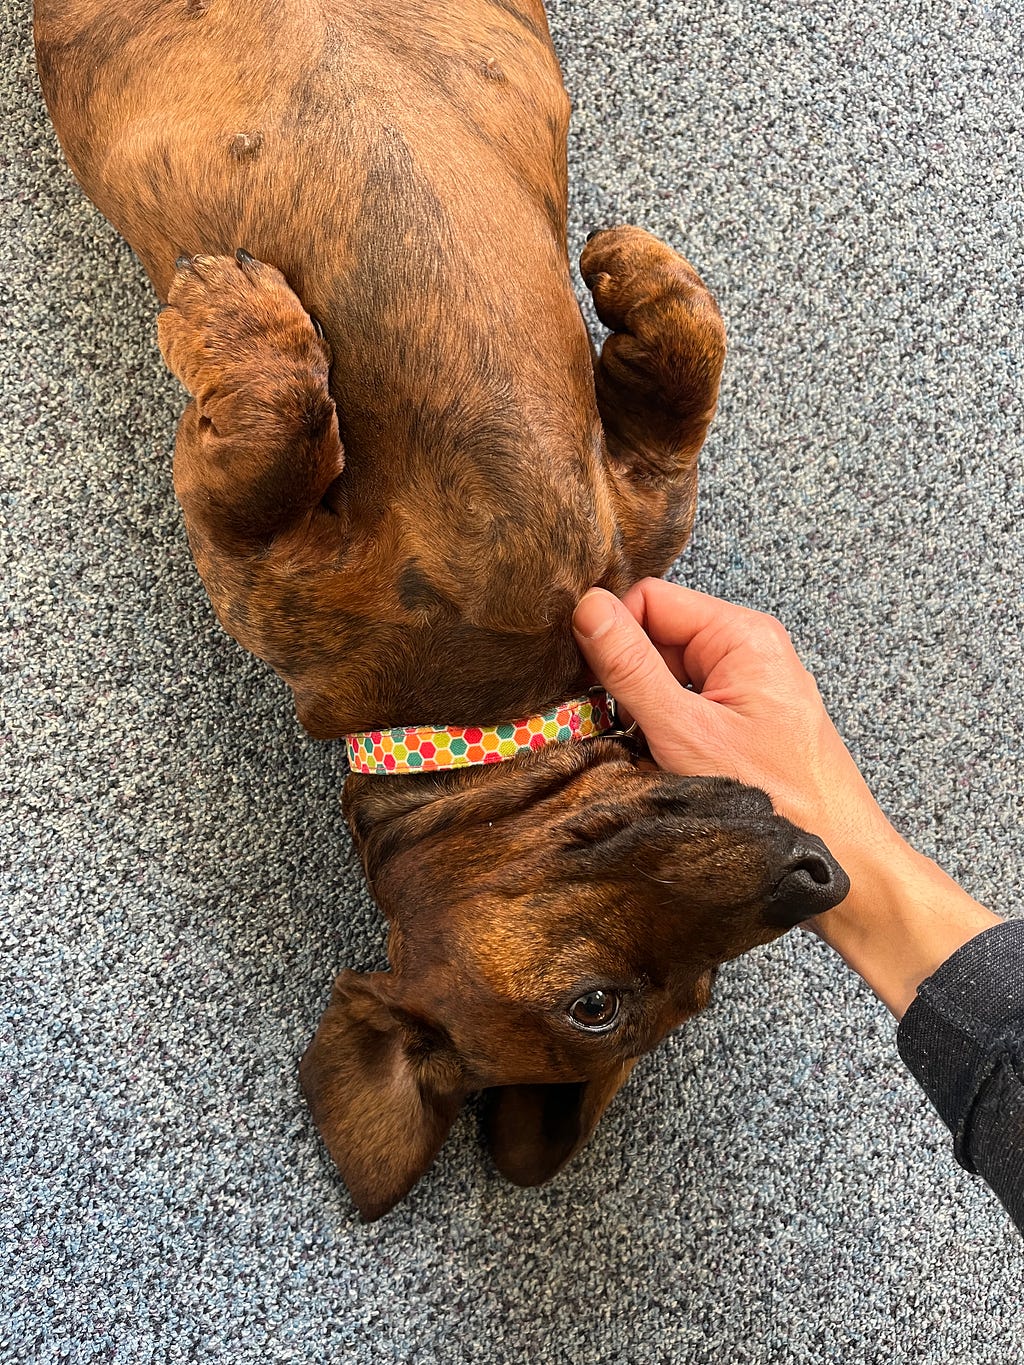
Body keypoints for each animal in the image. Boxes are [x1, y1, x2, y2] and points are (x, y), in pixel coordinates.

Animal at [36, 0, 851, 1217]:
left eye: (679, 995)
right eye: (596, 1007)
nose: (821, 874)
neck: (487, 713)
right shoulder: (271, 565)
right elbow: (293, 421)